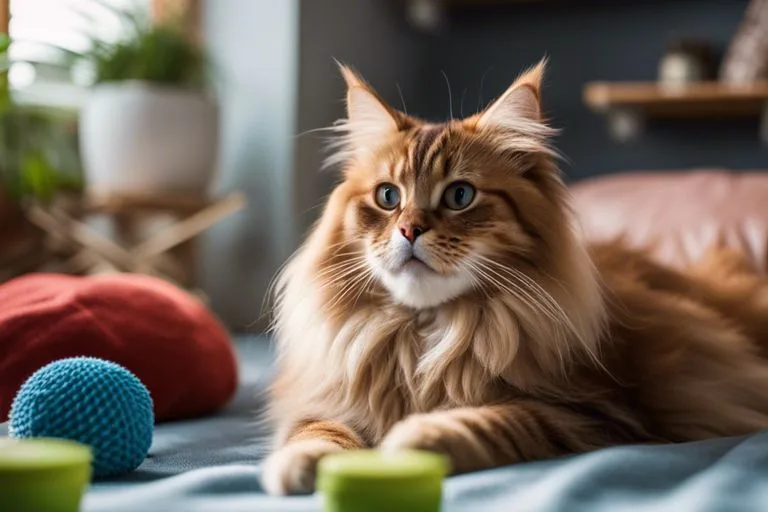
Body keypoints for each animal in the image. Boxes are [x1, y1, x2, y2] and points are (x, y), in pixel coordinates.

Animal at [260, 61, 768, 496]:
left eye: (459, 196)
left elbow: (491, 419)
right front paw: (299, 464)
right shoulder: (327, 400)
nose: (408, 230)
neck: (425, 336)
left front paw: (412, 438)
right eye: (388, 197)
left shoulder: (597, 413)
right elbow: (314, 430)